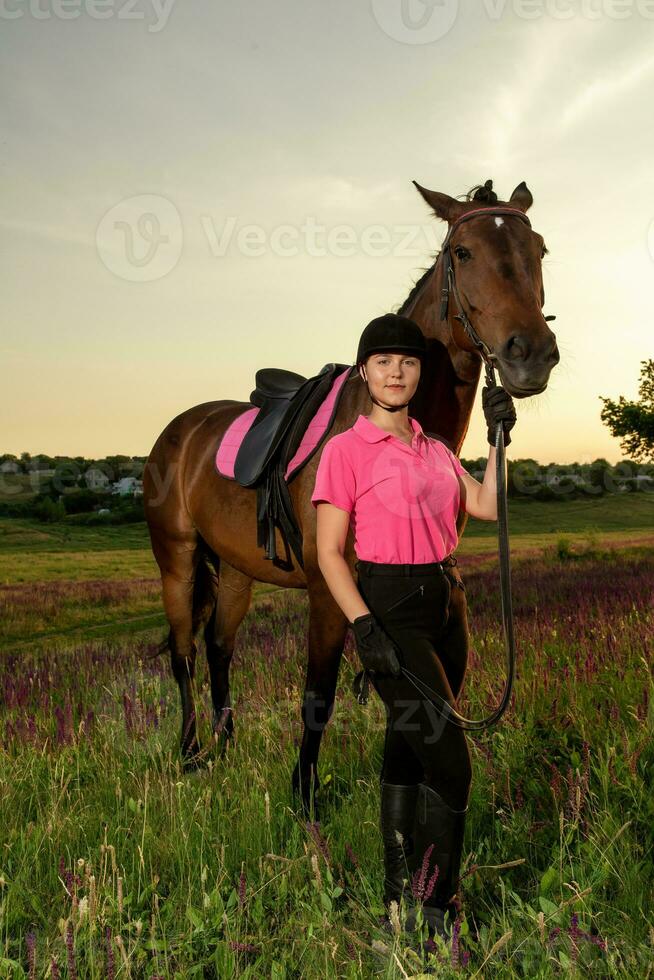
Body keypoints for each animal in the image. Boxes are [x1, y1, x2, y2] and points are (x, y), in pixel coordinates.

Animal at [142, 178, 560, 820]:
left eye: (538, 249)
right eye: (462, 253)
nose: (531, 354)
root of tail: (181, 429)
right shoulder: (329, 592)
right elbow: (318, 693)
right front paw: (305, 797)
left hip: (236, 571)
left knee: (218, 648)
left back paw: (224, 746)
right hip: (178, 560)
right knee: (184, 650)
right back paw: (190, 753)